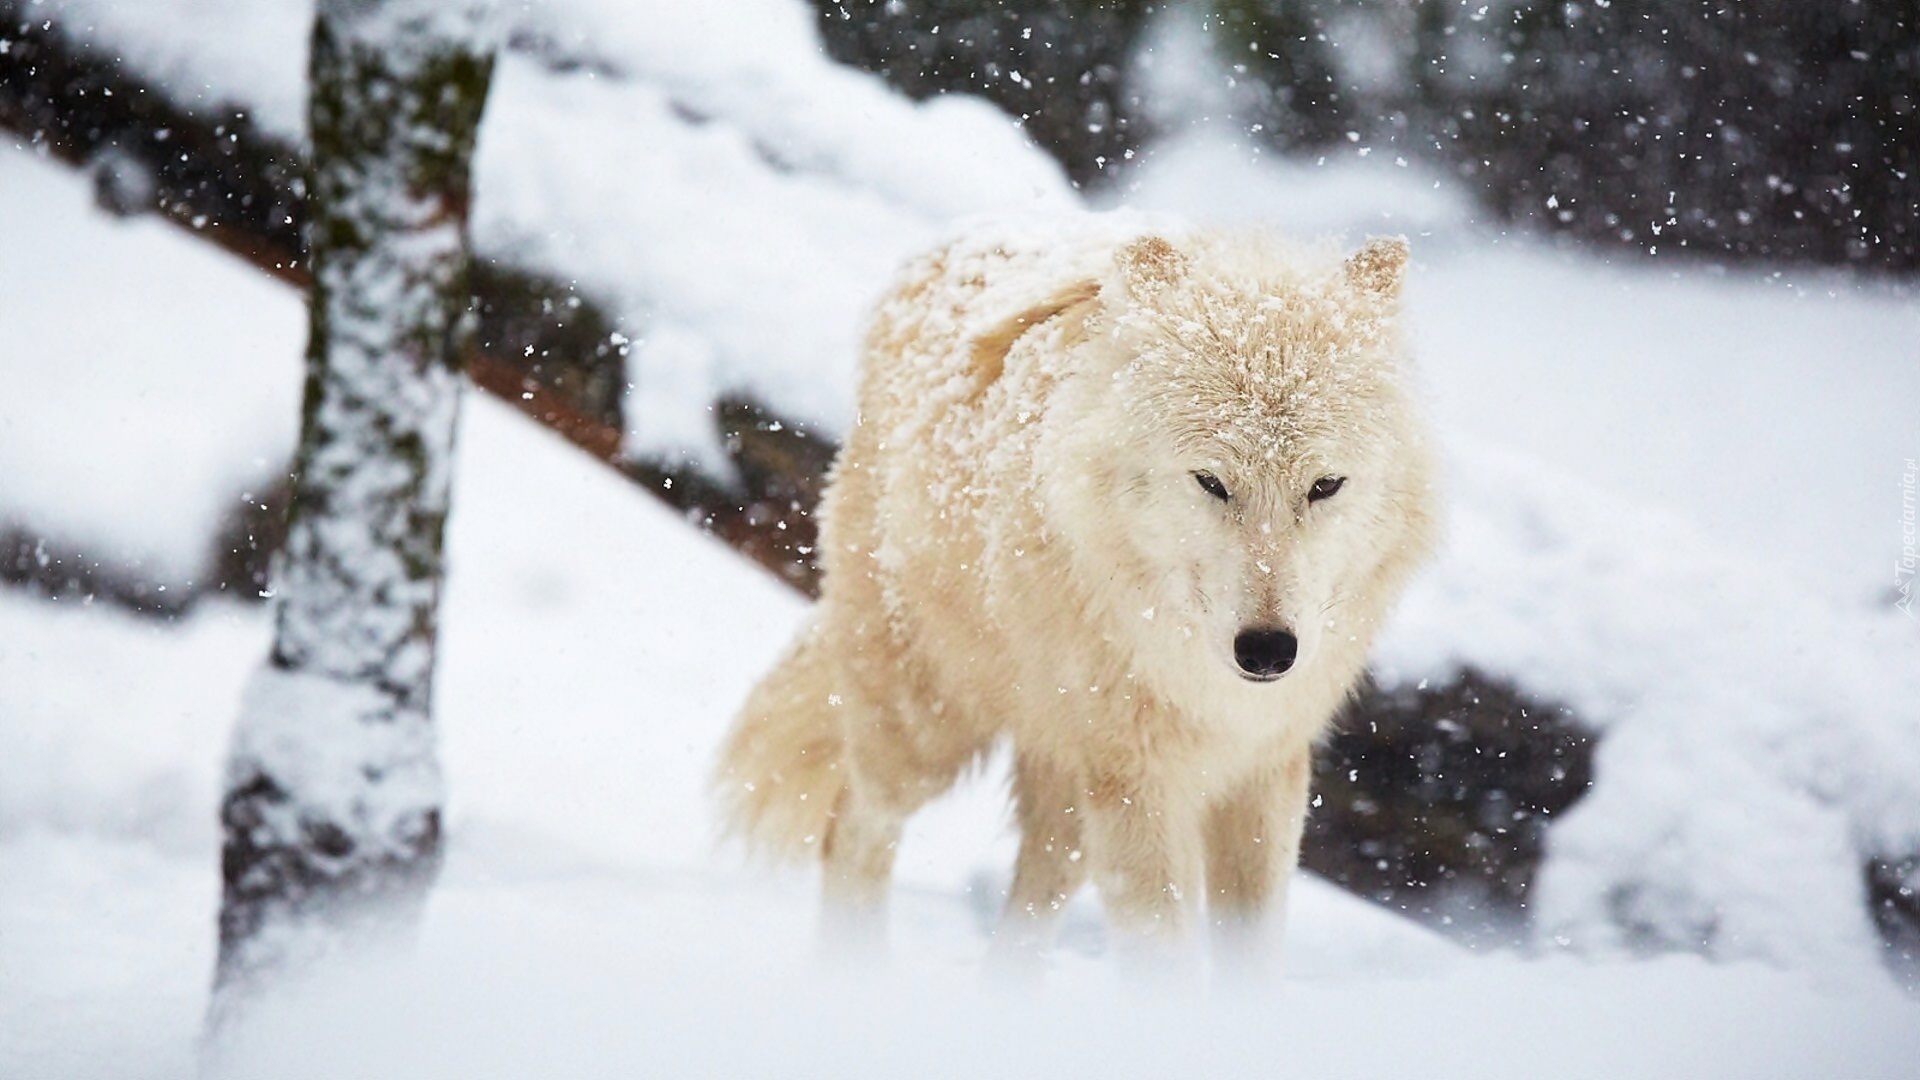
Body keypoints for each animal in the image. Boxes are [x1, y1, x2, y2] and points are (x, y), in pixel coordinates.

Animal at [721, 222, 1443, 972]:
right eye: (1211, 482)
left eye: (1325, 486)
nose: (1270, 650)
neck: (1204, 689)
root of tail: (945, 246)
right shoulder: (1138, 782)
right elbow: (1164, 963)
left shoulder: (1264, 770)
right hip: (926, 729)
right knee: (853, 831)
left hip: (1066, 794)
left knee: (1028, 906)